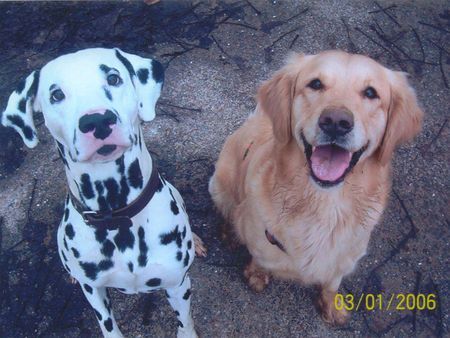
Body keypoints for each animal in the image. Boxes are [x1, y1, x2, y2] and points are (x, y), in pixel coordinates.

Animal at [0, 48, 206, 338]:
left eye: (113, 78)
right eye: (56, 94)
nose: (97, 120)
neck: (116, 214)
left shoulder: (178, 285)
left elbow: (185, 322)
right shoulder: (94, 292)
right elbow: (107, 324)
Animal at [209, 50, 424, 324]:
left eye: (370, 92)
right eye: (316, 84)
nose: (335, 121)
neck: (325, 204)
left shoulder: (346, 256)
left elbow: (332, 282)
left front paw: (331, 305)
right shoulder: (259, 240)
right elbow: (259, 259)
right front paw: (257, 275)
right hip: (219, 185)